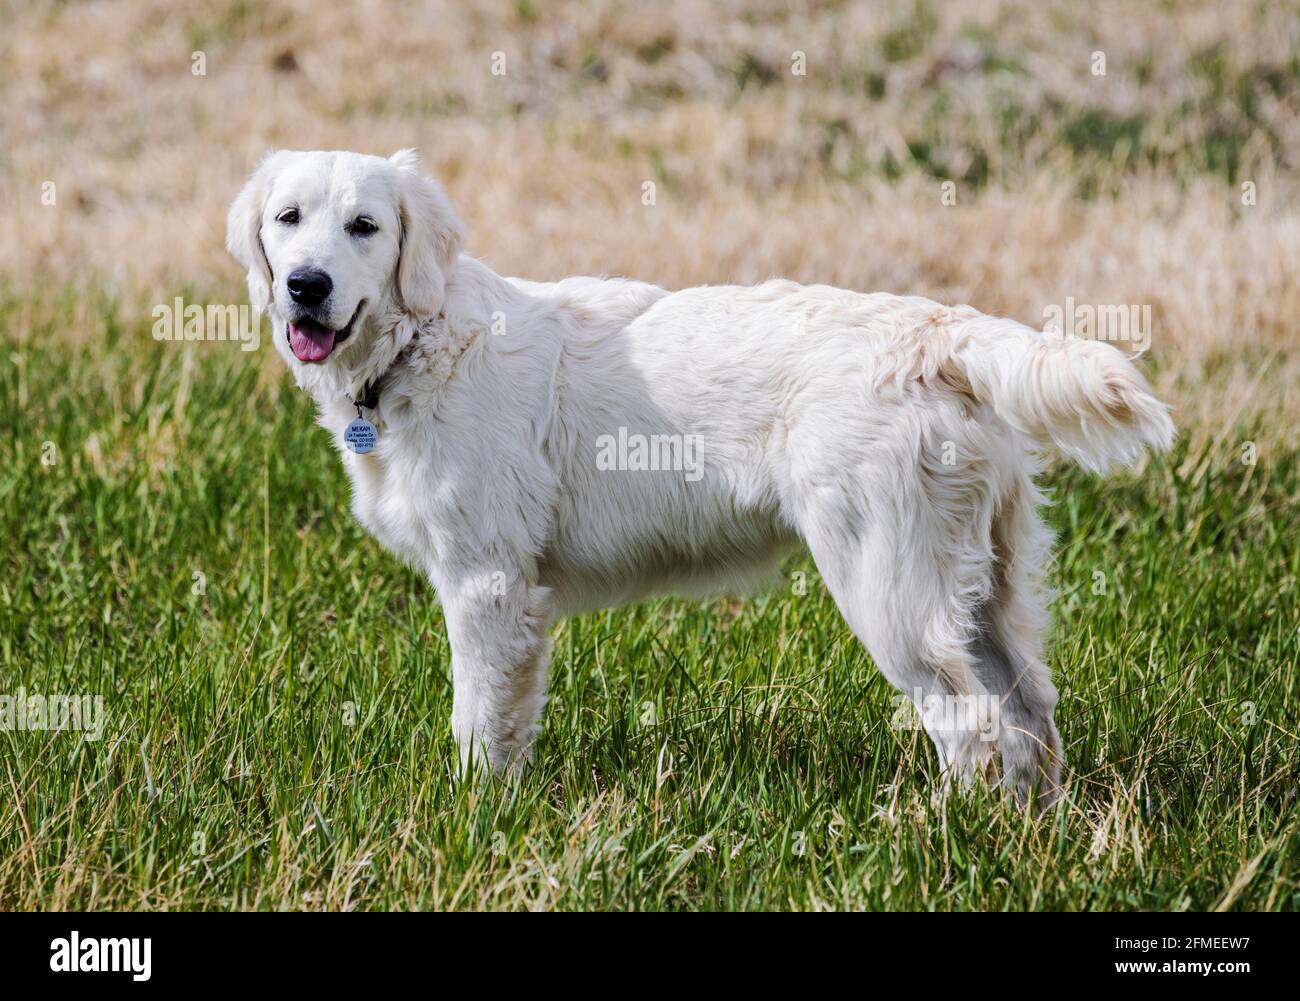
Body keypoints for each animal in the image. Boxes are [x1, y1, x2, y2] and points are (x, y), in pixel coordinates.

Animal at [228, 146, 1175, 800]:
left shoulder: (488, 582)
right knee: (1029, 713)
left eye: (365, 226)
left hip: (886, 585)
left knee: (971, 724)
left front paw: (471, 816)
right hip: (983, 580)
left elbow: (480, 722)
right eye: (288, 218)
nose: (305, 286)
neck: (420, 342)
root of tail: (940, 333)